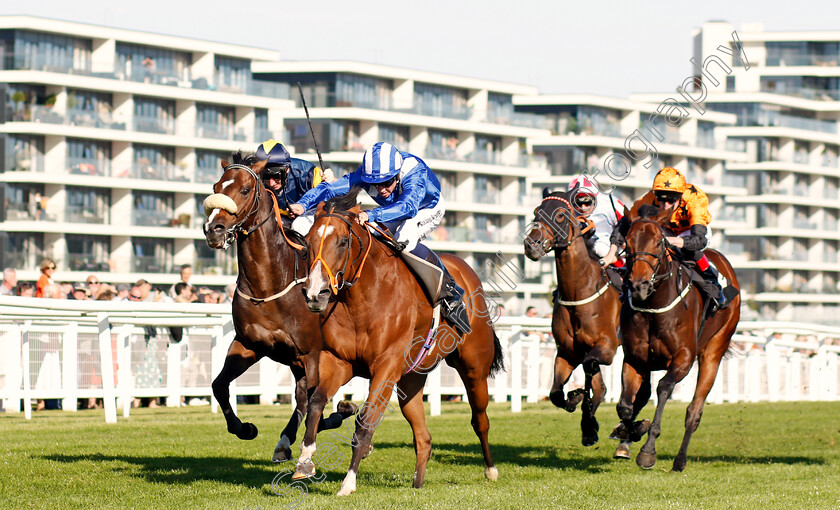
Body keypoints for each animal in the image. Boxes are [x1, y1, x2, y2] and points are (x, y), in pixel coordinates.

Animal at [203, 154, 354, 462]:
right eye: (216, 186)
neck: (268, 284)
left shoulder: (311, 353)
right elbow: (219, 385)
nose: (214, 229)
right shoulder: (249, 344)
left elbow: (312, 399)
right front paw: (244, 428)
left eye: (245, 189)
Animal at [292, 189, 502, 496]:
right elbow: (316, 403)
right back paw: (418, 483)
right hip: (411, 379)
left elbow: (366, 421)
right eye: (307, 243)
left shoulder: (386, 367)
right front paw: (305, 461)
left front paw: (348, 482)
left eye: (343, 241)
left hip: (474, 367)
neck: (362, 299)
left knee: (480, 419)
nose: (315, 294)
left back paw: (490, 469)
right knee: (424, 438)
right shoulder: (340, 361)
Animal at [524, 190, 624, 446]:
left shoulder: (607, 346)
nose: (531, 245)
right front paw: (577, 403)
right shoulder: (567, 351)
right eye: (536, 212)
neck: (580, 291)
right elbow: (555, 394)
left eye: (560, 215)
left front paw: (584, 410)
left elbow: (590, 370)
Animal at [616, 205, 740, 472]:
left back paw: (680, 461)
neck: (654, 305)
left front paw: (648, 451)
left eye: (658, 243)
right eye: (627, 242)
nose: (639, 285)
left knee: (694, 411)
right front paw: (632, 431)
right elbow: (625, 406)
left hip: (714, 350)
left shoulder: (683, 358)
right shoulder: (635, 358)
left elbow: (664, 388)